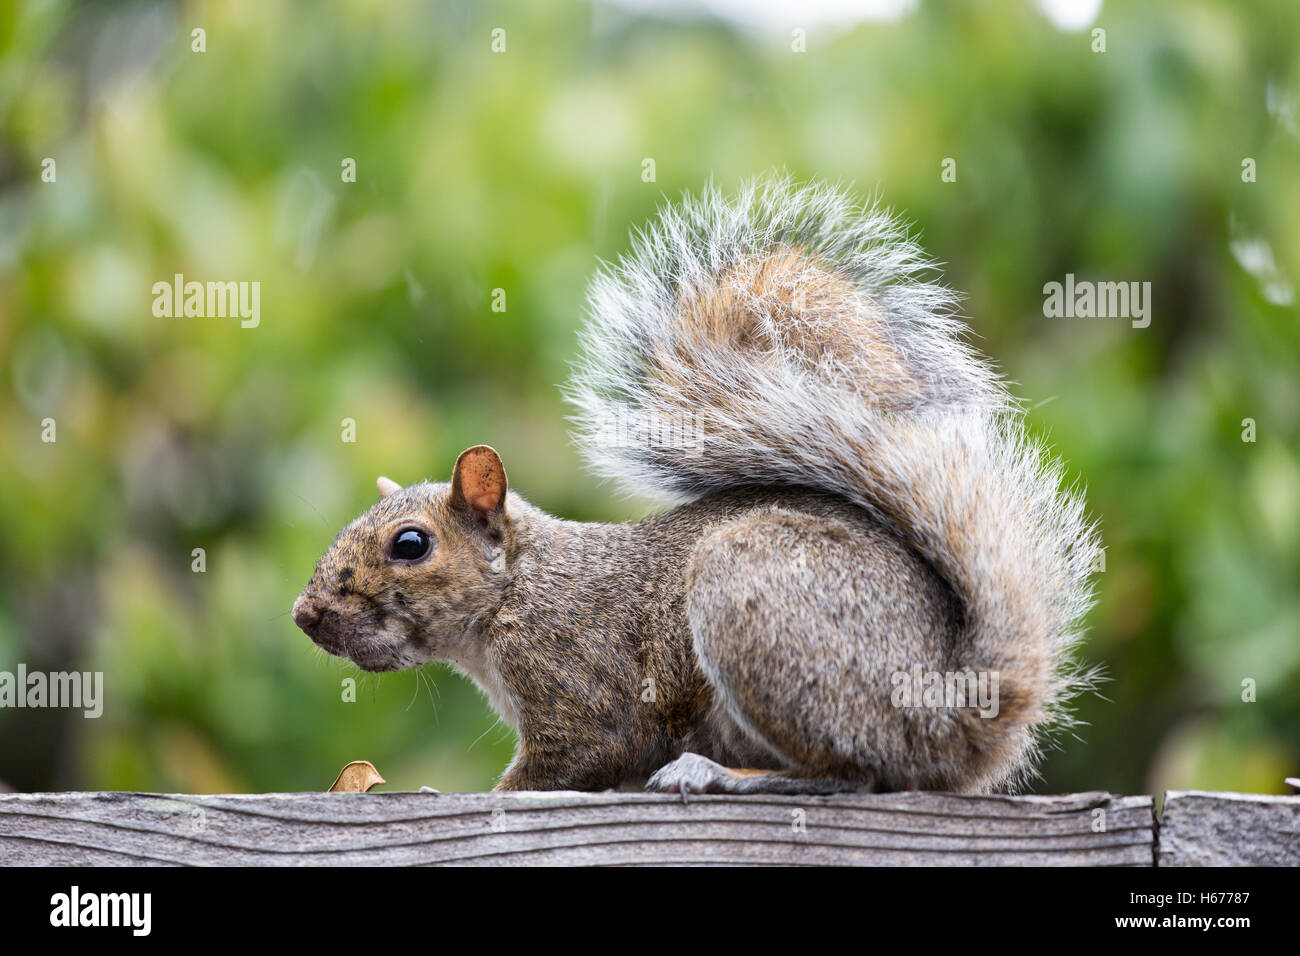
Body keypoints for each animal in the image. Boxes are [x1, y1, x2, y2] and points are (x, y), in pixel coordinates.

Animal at [292, 175, 1097, 796]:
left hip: (756, 601)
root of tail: (952, 714)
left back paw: (720, 775)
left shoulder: (584, 689)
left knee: (856, 772)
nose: (306, 614)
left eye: (411, 544)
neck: (518, 591)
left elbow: (573, 760)